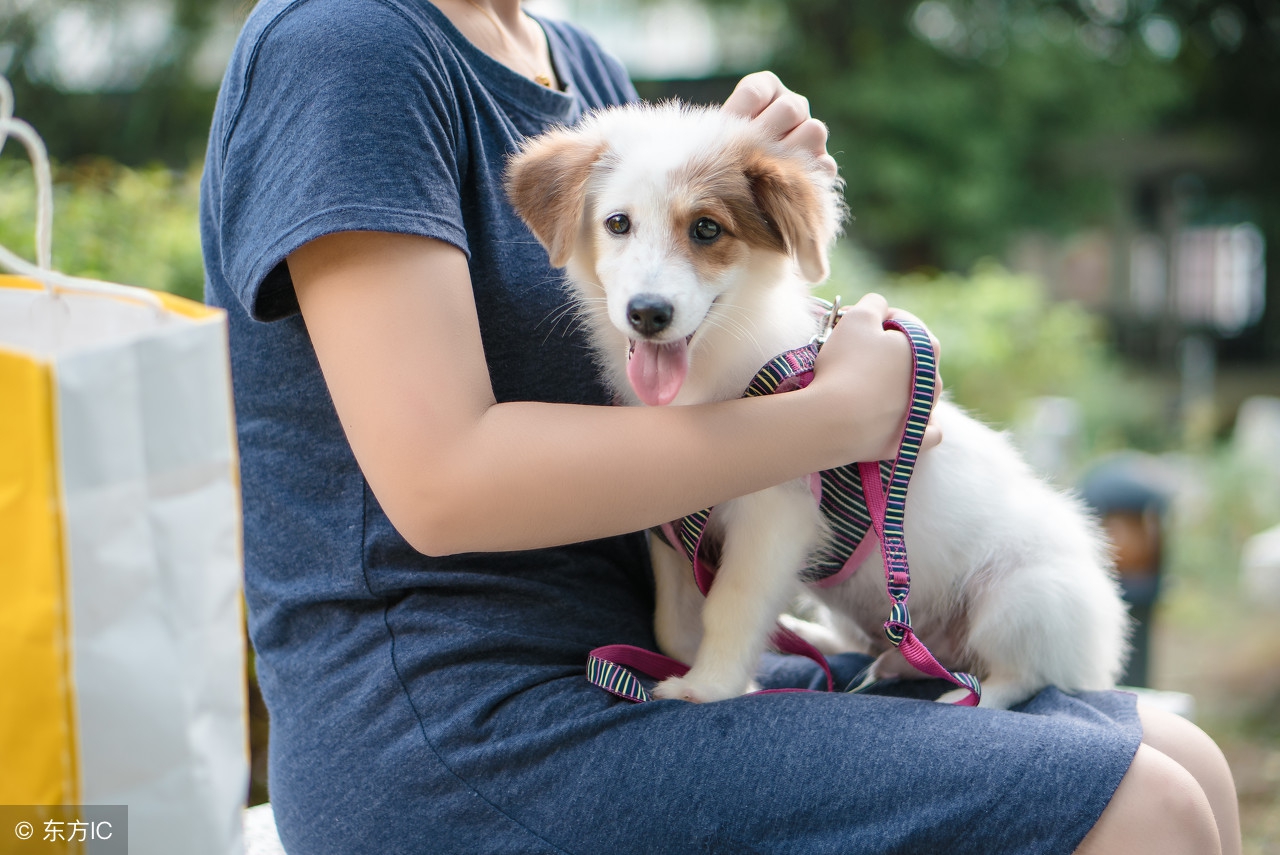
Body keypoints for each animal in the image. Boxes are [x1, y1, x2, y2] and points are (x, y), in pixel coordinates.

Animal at [504, 101, 1126, 706]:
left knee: (1023, 674)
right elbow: (674, 621)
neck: (715, 375)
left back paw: (965, 697)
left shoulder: (774, 515)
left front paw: (711, 687)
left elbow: (732, 603)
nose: (648, 313)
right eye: (618, 223)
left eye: (706, 228)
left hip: (1024, 598)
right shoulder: (673, 524)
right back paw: (833, 644)